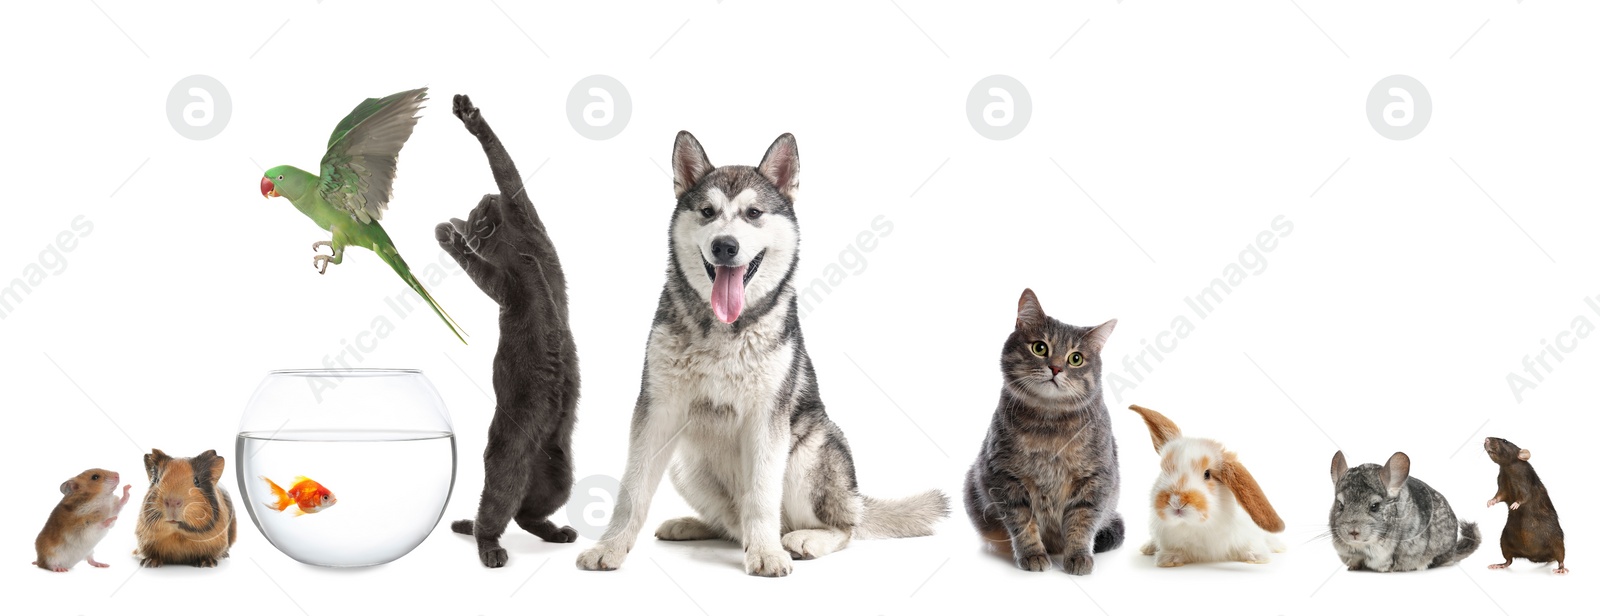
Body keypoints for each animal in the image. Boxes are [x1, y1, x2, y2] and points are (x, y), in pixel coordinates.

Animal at [438, 93, 582, 569]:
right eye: (472, 216)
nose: (480, 204)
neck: (513, 245)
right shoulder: (505, 285)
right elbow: (477, 265)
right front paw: (447, 238)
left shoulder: (528, 219)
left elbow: (507, 170)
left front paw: (471, 117)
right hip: (509, 459)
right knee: (494, 515)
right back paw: (490, 548)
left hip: (560, 473)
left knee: (524, 514)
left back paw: (557, 532)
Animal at [1126, 403, 1286, 566]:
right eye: (1164, 470)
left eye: (1207, 474)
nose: (1176, 502)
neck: (1201, 525)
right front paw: (1169, 560)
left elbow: (1251, 546)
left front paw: (1258, 557)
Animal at [1478, 435, 1568, 569]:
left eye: (1505, 441)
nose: (1486, 439)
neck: (1508, 468)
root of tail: (1535, 556)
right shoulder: (1502, 480)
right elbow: (1499, 495)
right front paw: (1491, 501)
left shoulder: (1526, 480)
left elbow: (1526, 495)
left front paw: (1516, 504)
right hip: (1505, 540)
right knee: (1508, 559)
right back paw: (1500, 565)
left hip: (1556, 539)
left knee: (1560, 554)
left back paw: (1561, 568)